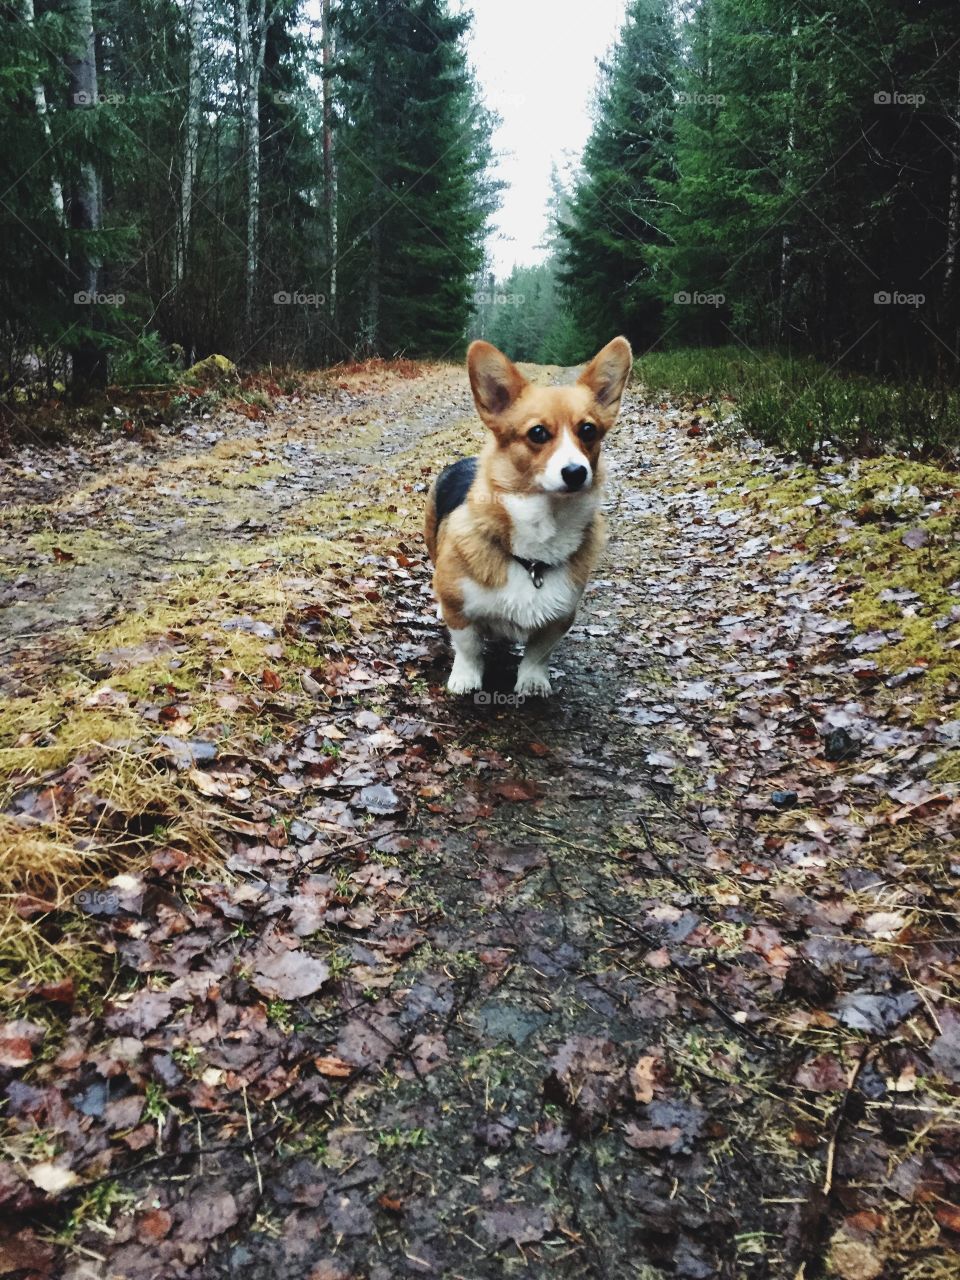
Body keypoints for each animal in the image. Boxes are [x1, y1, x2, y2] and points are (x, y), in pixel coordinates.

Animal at [424, 337, 634, 701]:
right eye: (537, 433)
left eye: (588, 430)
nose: (576, 472)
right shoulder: (460, 611)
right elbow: (468, 646)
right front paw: (465, 678)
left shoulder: (559, 618)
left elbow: (538, 653)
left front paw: (533, 681)